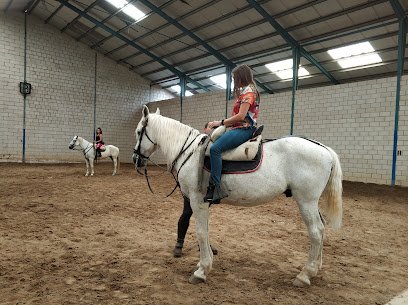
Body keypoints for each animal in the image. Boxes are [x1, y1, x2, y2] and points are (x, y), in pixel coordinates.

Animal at [133, 105, 342, 286]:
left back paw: (305, 274)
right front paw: (204, 264)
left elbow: (201, 232)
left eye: (138, 132)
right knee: (322, 228)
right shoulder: (202, 203)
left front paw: (201, 271)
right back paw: (316, 268)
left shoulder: (197, 200)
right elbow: (205, 231)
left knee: (316, 231)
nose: (136, 159)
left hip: (306, 201)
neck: (190, 152)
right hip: (312, 202)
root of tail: (323, 148)